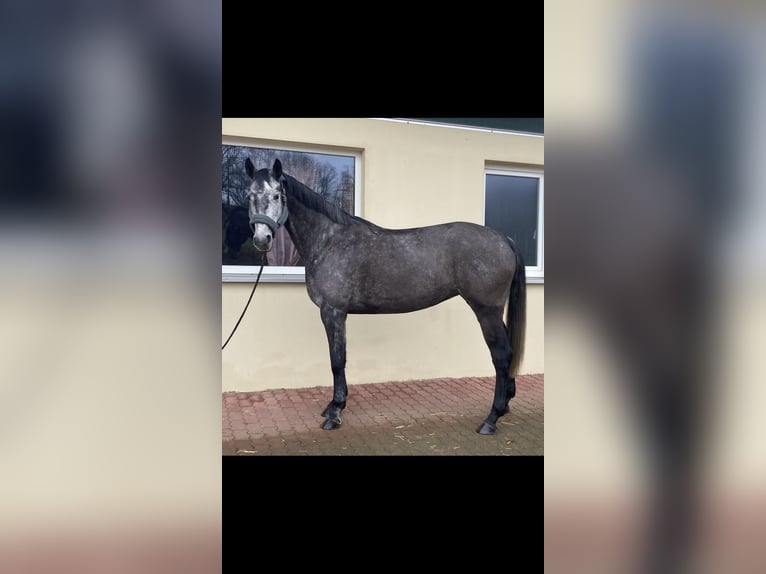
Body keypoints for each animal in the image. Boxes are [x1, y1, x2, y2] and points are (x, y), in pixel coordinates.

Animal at [246, 160, 528, 434]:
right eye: (250, 195)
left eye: (277, 195)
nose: (262, 239)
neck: (329, 240)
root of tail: (504, 238)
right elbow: (338, 358)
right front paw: (333, 407)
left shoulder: (333, 311)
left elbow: (337, 360)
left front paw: (335, 412)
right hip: (494, 312)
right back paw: (505, 405)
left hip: (486, 311)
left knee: (501, 355)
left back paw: (491, 419)